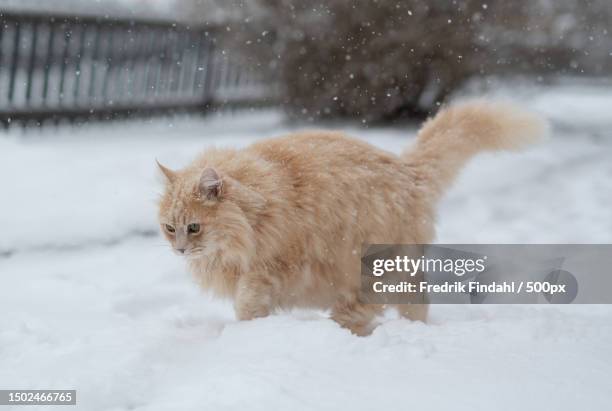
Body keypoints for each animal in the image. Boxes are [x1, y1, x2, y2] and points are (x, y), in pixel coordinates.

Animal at [157, 101, 544, 336]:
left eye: (194, 227)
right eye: (170, 228)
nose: (179, 250)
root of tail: (409, 171)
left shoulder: (272, 265)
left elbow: (248, 303)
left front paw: (247, 331)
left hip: (378, 268)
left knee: (391, 307)